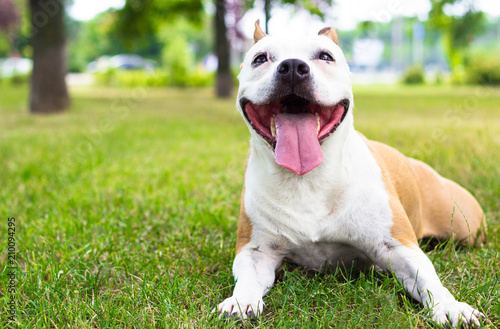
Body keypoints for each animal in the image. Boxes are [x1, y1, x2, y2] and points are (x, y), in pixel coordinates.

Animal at [216, 21, 488, 326]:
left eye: (325, 56)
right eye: (260, 58)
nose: (293, 66)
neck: (307, 179)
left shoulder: (398, 246)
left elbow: (429, 279)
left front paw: (450, 306)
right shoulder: (256, 251)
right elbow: (248, 278)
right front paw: (241, 301)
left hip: (465, 226)